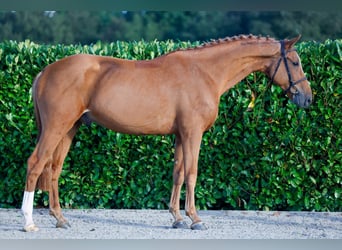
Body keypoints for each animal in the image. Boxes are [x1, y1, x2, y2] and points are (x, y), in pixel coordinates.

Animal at [20, 34, 312, 231]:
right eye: (295, 62)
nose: (307, 98)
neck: (205, 72)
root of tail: (44, 72)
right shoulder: (193, 133)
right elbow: (192, 173)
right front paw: (195, 219)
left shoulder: (181, 135)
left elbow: (178, 173)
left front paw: (177, 218)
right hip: (56, 128)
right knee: (35, 164)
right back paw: (28, 222)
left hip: (69, 129)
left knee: (53, 168)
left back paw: (60, 219)